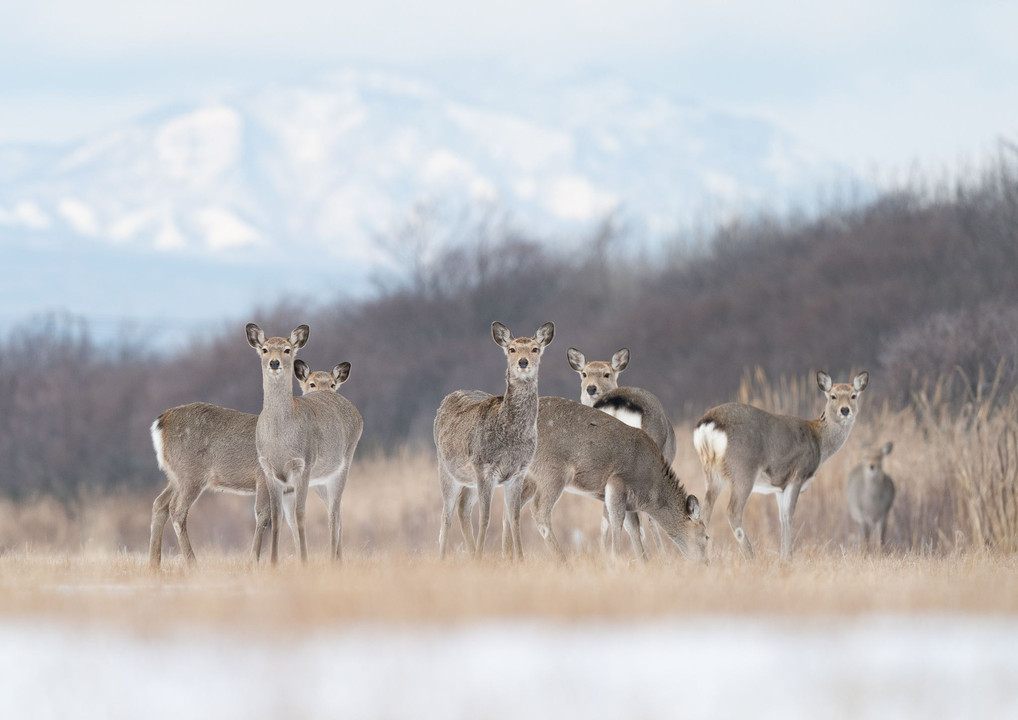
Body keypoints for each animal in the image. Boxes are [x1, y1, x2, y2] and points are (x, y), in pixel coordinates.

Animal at [145, 360, 348, 570]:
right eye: (311, 384)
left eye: (333, 384)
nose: (328, 398)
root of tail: (161, 422)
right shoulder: (262, 477)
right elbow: (264, 514)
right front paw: (253, 561)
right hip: (191, 473)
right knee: (177, 510)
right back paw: (192, 562)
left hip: (176, 476)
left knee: (160, 504)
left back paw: (154, 564)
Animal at [245, 323, 364, 566]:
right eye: (264, 349)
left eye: (287, 349)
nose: (274, 363)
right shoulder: (269, 470)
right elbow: (277, 516)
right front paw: (273, 562)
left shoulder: (303, 464)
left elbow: (301, 514)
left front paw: (304, 561)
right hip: (319, 480)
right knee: (335, 510)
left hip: (343, 465)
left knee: (334, 513)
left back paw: (333, 560)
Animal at [433, 321, 553, 562]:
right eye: (511, 349)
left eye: (535, 349)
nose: (523, 362)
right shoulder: (484, 468)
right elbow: (486, 517)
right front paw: (481, 558)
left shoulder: (518, 473)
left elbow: (514, 518)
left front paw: (519, 560)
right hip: (447, 468)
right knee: (446, 514)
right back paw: (443, 558)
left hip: (469, 478)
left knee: (462, 508)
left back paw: (470, 554)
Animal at [696, 372, 871, 562]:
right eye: (833, 396)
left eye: (853, 395)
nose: (845, 410)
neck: (819, 441)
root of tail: (708, 424)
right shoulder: (798, 475)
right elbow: (789, 515)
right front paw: (788, 558)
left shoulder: (779, 486)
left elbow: (782, 518)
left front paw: (783, 556)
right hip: (743, 470)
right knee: (732, 511)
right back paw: (751, 556)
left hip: (712, 473)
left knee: (704, 512)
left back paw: (703, 557)